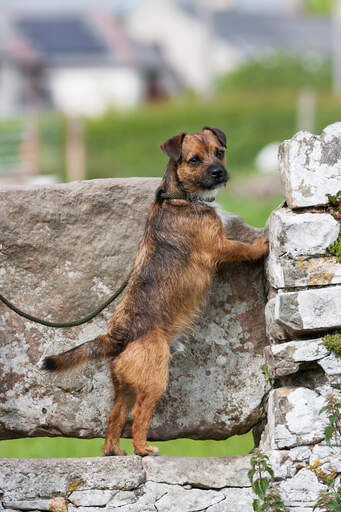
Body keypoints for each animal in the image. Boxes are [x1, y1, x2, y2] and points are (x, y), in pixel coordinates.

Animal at [41, 127, 266, 456]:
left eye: (219, 152)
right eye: (194, 159)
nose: (219, 172)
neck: (180, 196)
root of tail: (119, 336)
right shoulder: (218, 245)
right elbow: (242, 248)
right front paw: (261, 245)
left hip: (123, 388)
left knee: (115, 416)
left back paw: (114, 451)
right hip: (155, 380)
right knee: (139, 416)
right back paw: (143, 449)